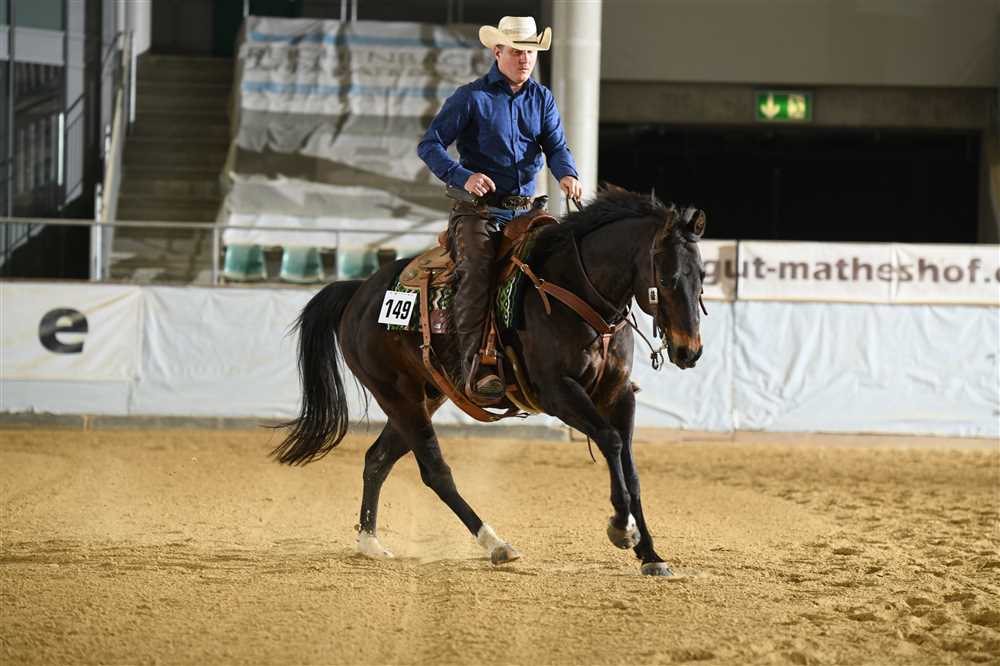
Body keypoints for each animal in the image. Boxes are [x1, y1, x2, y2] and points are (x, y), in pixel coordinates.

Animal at [272, 187, 707, 576]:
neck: (574, 291)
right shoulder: (558, 392)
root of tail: (358, 292)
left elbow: (631, 470)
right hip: (397, 394)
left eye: (702, 275)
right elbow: (611, 441)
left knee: (377, 459)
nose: (689, 351)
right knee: (435, 472)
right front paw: (621, 528)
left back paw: (370, 542)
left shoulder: (618, 394)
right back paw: (495, 544)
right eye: (668, 277)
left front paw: (650, 555)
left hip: (425, 396)